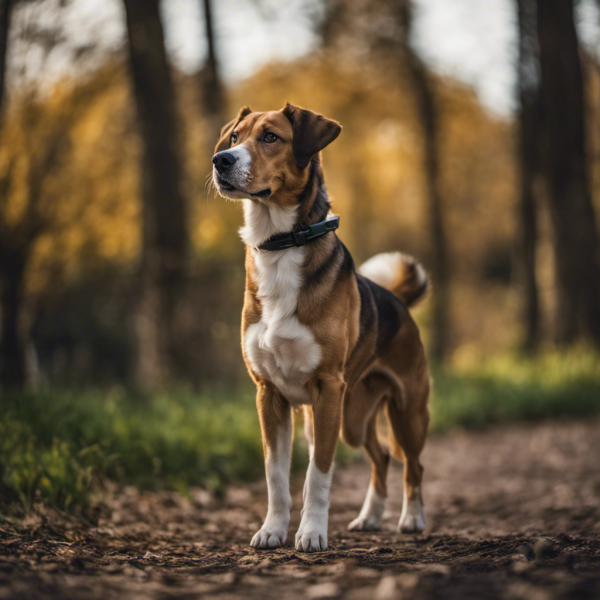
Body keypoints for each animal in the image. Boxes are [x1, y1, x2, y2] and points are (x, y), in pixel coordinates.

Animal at [211, 103, 432, 552]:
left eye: (271, 137)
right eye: (234, 137)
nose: (220, 160)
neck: (280, 245)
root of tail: (397, 301)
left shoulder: (328, 390)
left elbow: (317, 475)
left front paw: (312, 533)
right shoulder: (270, 395)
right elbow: (276, 477)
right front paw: (273, 530)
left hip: (406, 412)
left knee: (413, 465)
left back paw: (412, 519)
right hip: (352, 419)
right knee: (382, 456)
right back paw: (370, 517)